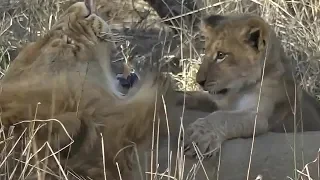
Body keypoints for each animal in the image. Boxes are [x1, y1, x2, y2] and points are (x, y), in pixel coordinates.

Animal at [184, 13, 320, 158]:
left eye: (221, 55)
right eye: (205, 52)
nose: (199, 81)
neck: (236, 93)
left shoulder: (259, 116)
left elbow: (224, 117)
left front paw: (198, 137)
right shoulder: (215, 100)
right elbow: (193, 96)